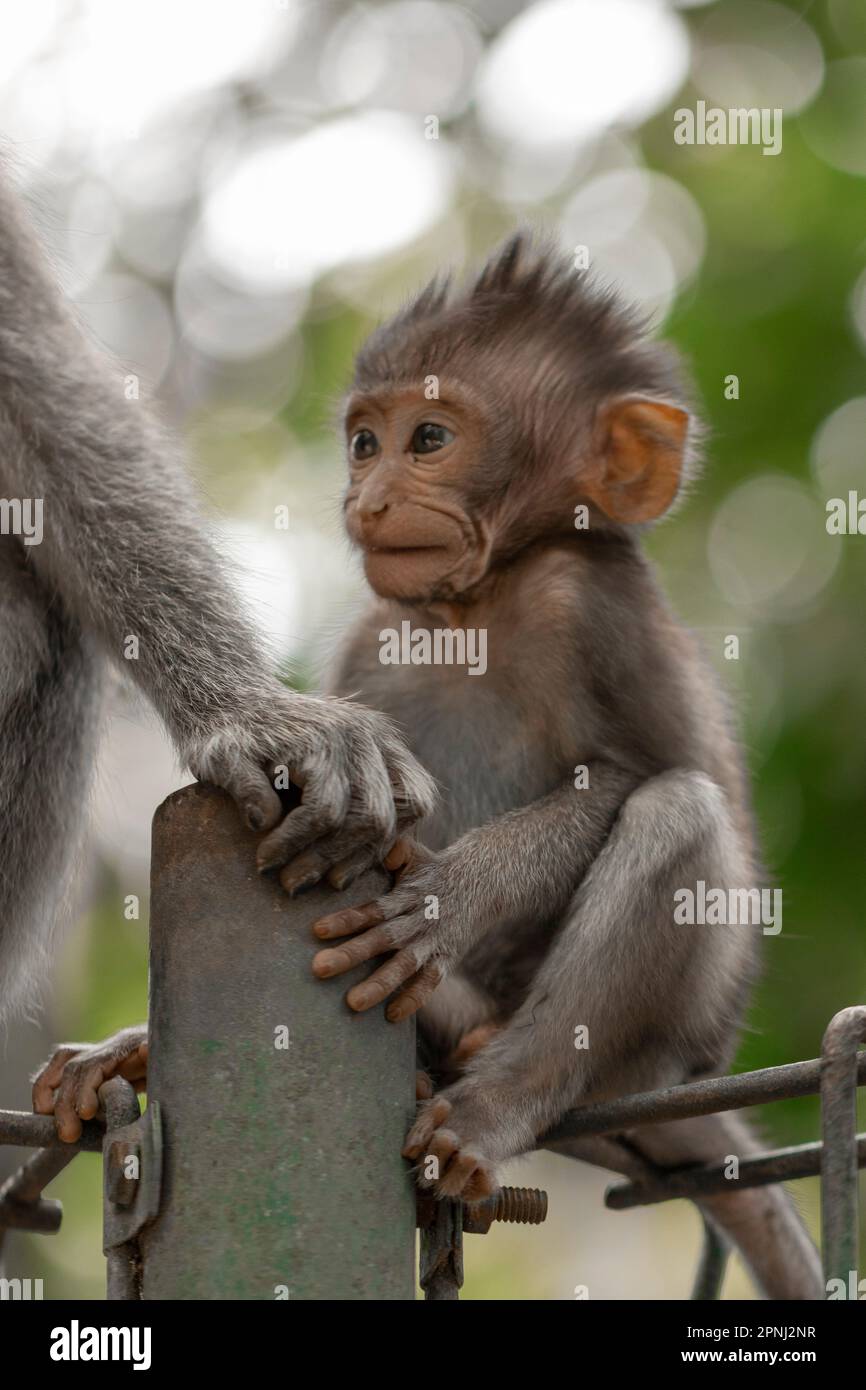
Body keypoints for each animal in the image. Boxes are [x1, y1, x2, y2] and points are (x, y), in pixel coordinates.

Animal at [308, 233, 822, 1295]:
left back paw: (496, 1104)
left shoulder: (584, 603)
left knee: (679, 812)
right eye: (365, 442)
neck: (476, 606)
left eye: (429, 438)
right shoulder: (374, 640)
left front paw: (446, 899)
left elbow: (627, 777)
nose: (367, 498)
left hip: (670, 1045)